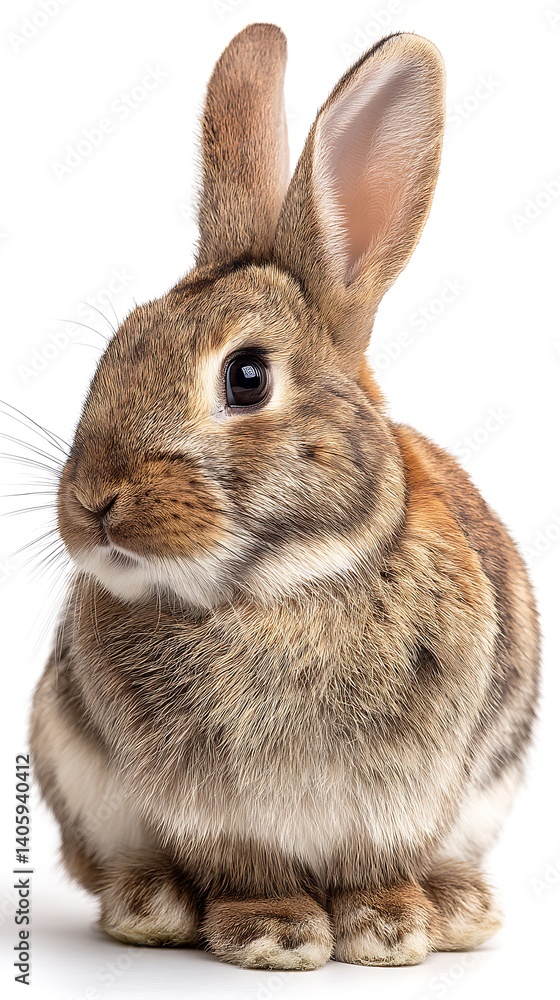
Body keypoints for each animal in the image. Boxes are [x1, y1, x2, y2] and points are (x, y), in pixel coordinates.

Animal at [30, 24, 539, 971]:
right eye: (117, 347)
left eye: (247, 377)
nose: (93, 501)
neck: (278, 588)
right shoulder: (215, 815)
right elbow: (248, 869)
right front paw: (275, 936)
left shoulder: (404, 800)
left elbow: (379, 866)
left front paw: (388, 931)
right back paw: (150, 905)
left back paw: (458, 909)